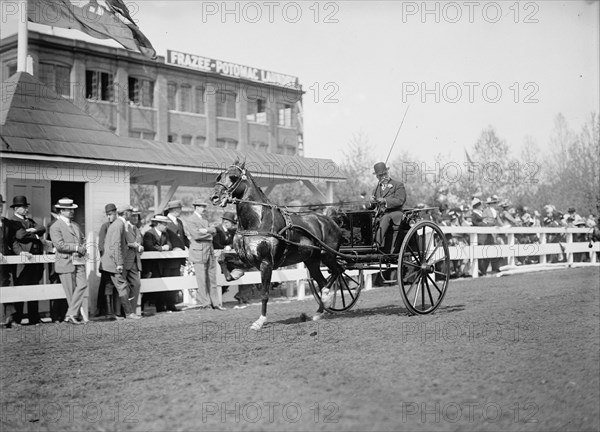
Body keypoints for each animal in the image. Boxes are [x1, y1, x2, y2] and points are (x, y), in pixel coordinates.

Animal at [210, 160, 342, 330]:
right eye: (219, 176)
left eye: (233, 177)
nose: (214, 197)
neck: (258, 221)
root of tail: (329, 220)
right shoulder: (246, 259)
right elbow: (222, 257)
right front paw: (235, 274)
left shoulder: (266, 263)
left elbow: (264, 293)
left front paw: (260, 321)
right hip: (312, 261)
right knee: (323, 281)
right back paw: (319, 312)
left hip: (328, 255)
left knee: (338, 271)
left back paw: (326, 297)